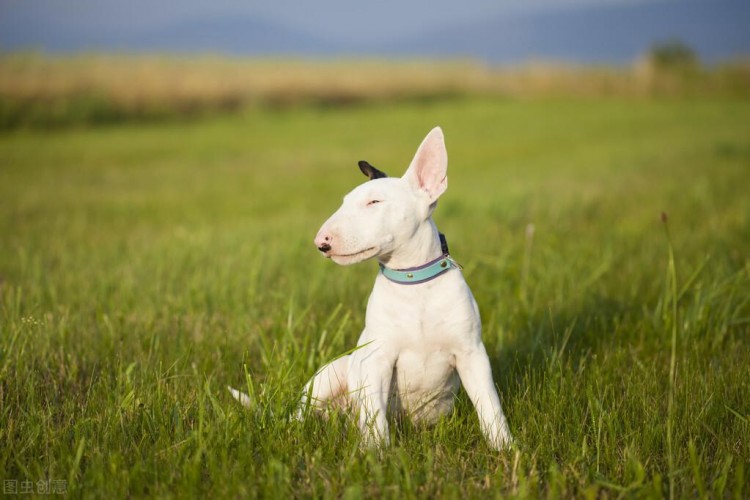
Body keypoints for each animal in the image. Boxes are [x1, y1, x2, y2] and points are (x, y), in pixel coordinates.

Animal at [296, 126, 516, 450]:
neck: (414, 285)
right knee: (300, 412)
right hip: (331, 374)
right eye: (344, 202)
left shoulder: (471, 354)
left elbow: (489, 404)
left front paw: (505, 447)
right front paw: (375, 453)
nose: (321, 242)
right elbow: (374, 414)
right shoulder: (376, 360)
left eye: (374, 203)